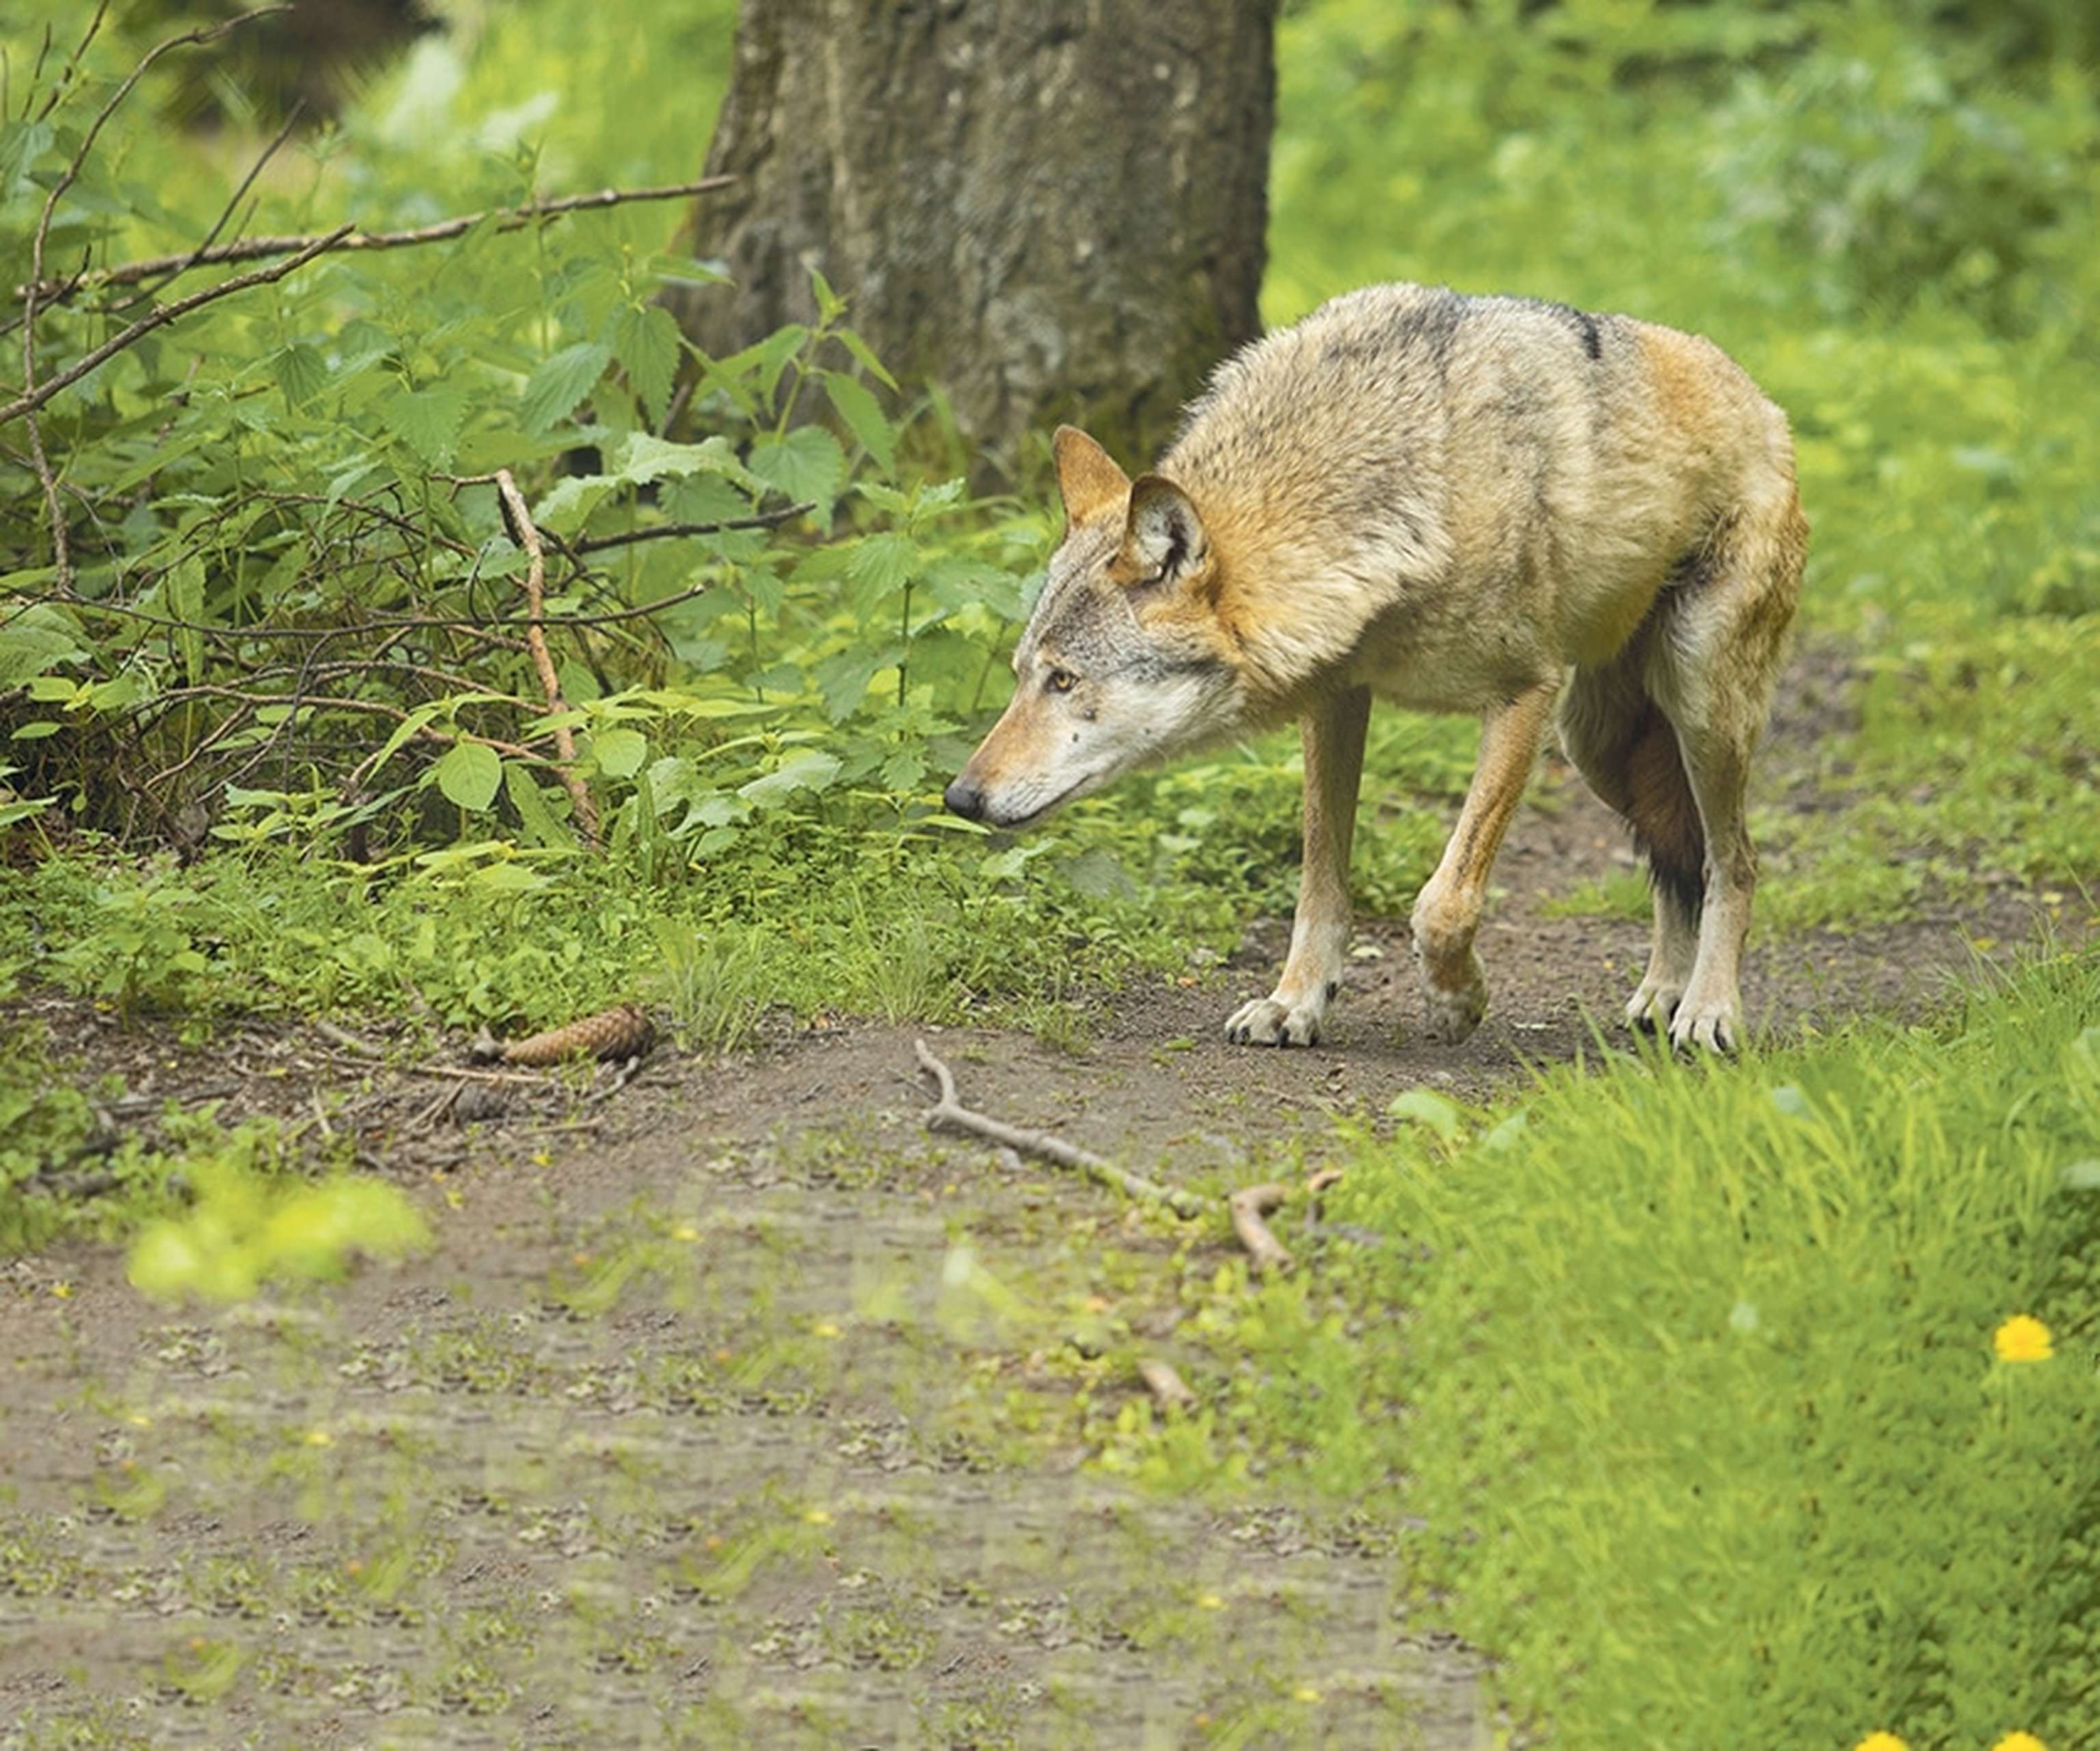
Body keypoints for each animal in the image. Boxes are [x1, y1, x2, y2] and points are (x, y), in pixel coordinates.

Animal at [944, 283, 1806, 1054]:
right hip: (1600, 747)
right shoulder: (1336, 702)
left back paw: (1708, 1012)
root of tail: (1764, 403)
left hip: (1695, 709)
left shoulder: (1522, 695)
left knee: (1736, 861)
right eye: (1022, 674)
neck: (1400, 506)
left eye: (1063, 680)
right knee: (1678, 861)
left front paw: (1458, 1003)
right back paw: (1662, 995)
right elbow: (1320, 885)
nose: (959, 797)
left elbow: (1443, 901)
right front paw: (1295, 1004)